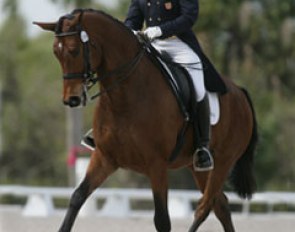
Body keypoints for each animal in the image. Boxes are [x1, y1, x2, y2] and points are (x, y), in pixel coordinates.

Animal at [34, 8, 256, 231]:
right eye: (56, 53)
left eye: (74, 50)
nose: (71, 99)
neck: (124, 99)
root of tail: (240, 91)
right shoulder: (104, 157)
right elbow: (77, 197)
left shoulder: (156, 165)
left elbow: (162, 220)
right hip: (197, 167)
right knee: (221, 205)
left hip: (223, 162)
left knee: (206, 205)